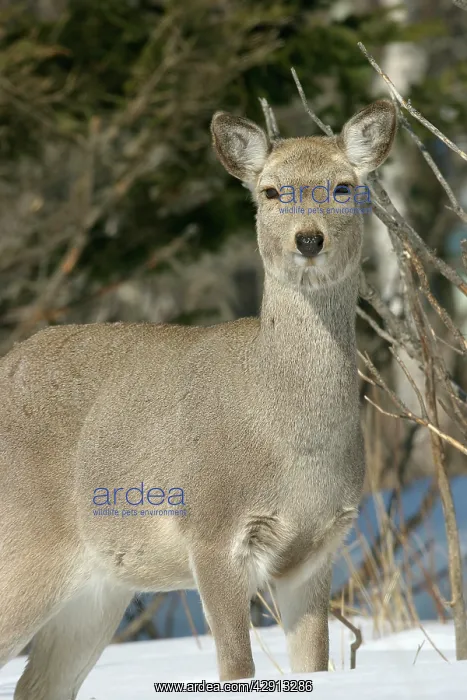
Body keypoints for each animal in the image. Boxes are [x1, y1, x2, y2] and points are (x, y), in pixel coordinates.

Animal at [0, 98, 396, 699]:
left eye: (344, 187)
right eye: (270, 191)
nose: (308, 239)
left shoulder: (317, 550)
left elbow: (315, 665)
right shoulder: (212, 532)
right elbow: (237, 668)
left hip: (97, 592)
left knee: (38, 686)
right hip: (23, 549)